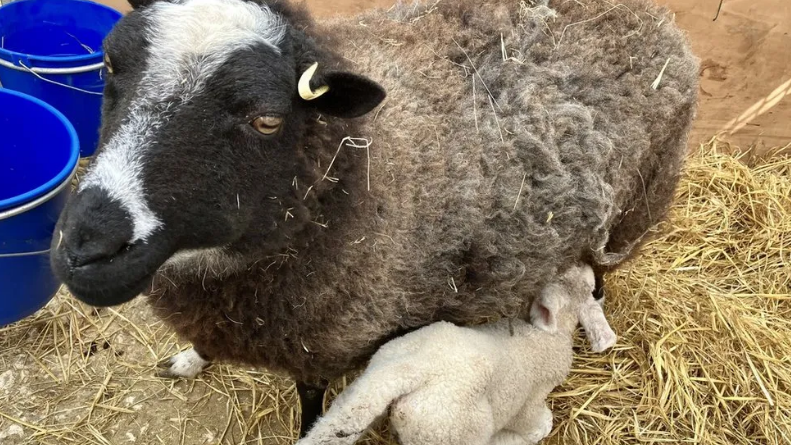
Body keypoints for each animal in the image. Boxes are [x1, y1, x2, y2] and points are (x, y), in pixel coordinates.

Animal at [296, 264, 620, 444]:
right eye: (589, 287)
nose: (589, 263)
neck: (545, 336)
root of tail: (411, 373)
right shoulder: (530, 403)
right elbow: (539, 426)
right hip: (451, 432)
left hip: (373, 379)